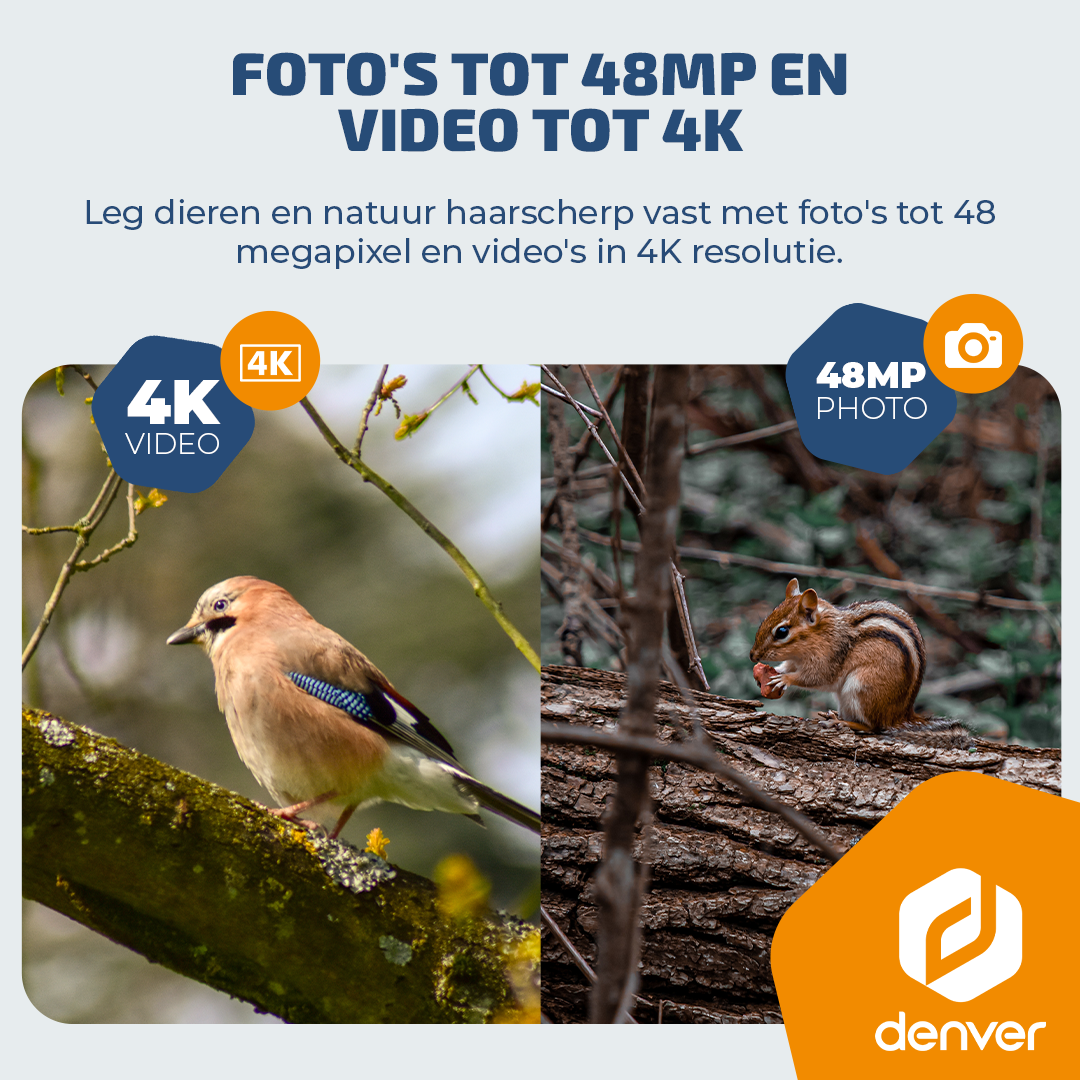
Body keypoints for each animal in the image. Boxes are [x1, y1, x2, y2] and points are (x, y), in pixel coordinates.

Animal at [750, 577, 928, 733]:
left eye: (782, 632)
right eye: (766, 618)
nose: (752, 656)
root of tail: (901, 716)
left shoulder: (827, 661)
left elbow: (815, 678)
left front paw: (784, 679)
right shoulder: (795, 661)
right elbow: (787, 666)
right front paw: (774, 672)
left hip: (862, 688)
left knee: (873, 726)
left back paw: (840, 722)